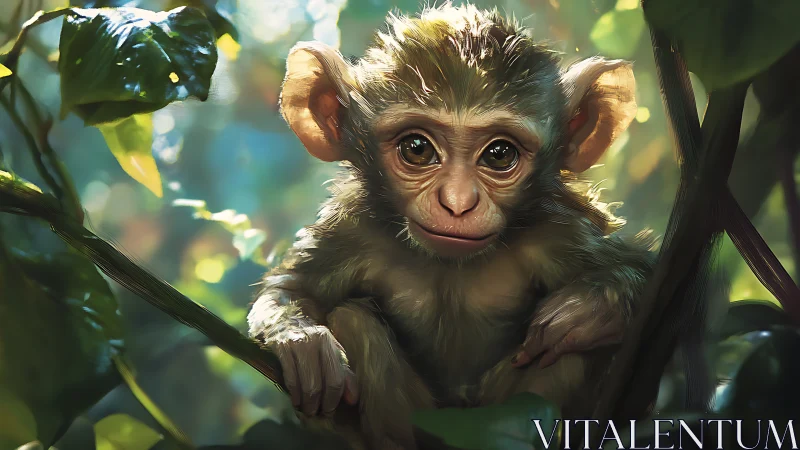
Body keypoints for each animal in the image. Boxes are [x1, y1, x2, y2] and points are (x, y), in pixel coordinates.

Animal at [247, 4, 659, 449]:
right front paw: (302, 342)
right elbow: (293, 289)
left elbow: (639, 272)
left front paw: (592, 309)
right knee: (353, 321)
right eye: (417, 148)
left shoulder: (559, 229)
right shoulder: (351, 229)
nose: (458, 203)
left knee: (565, 349)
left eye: (499, 154)